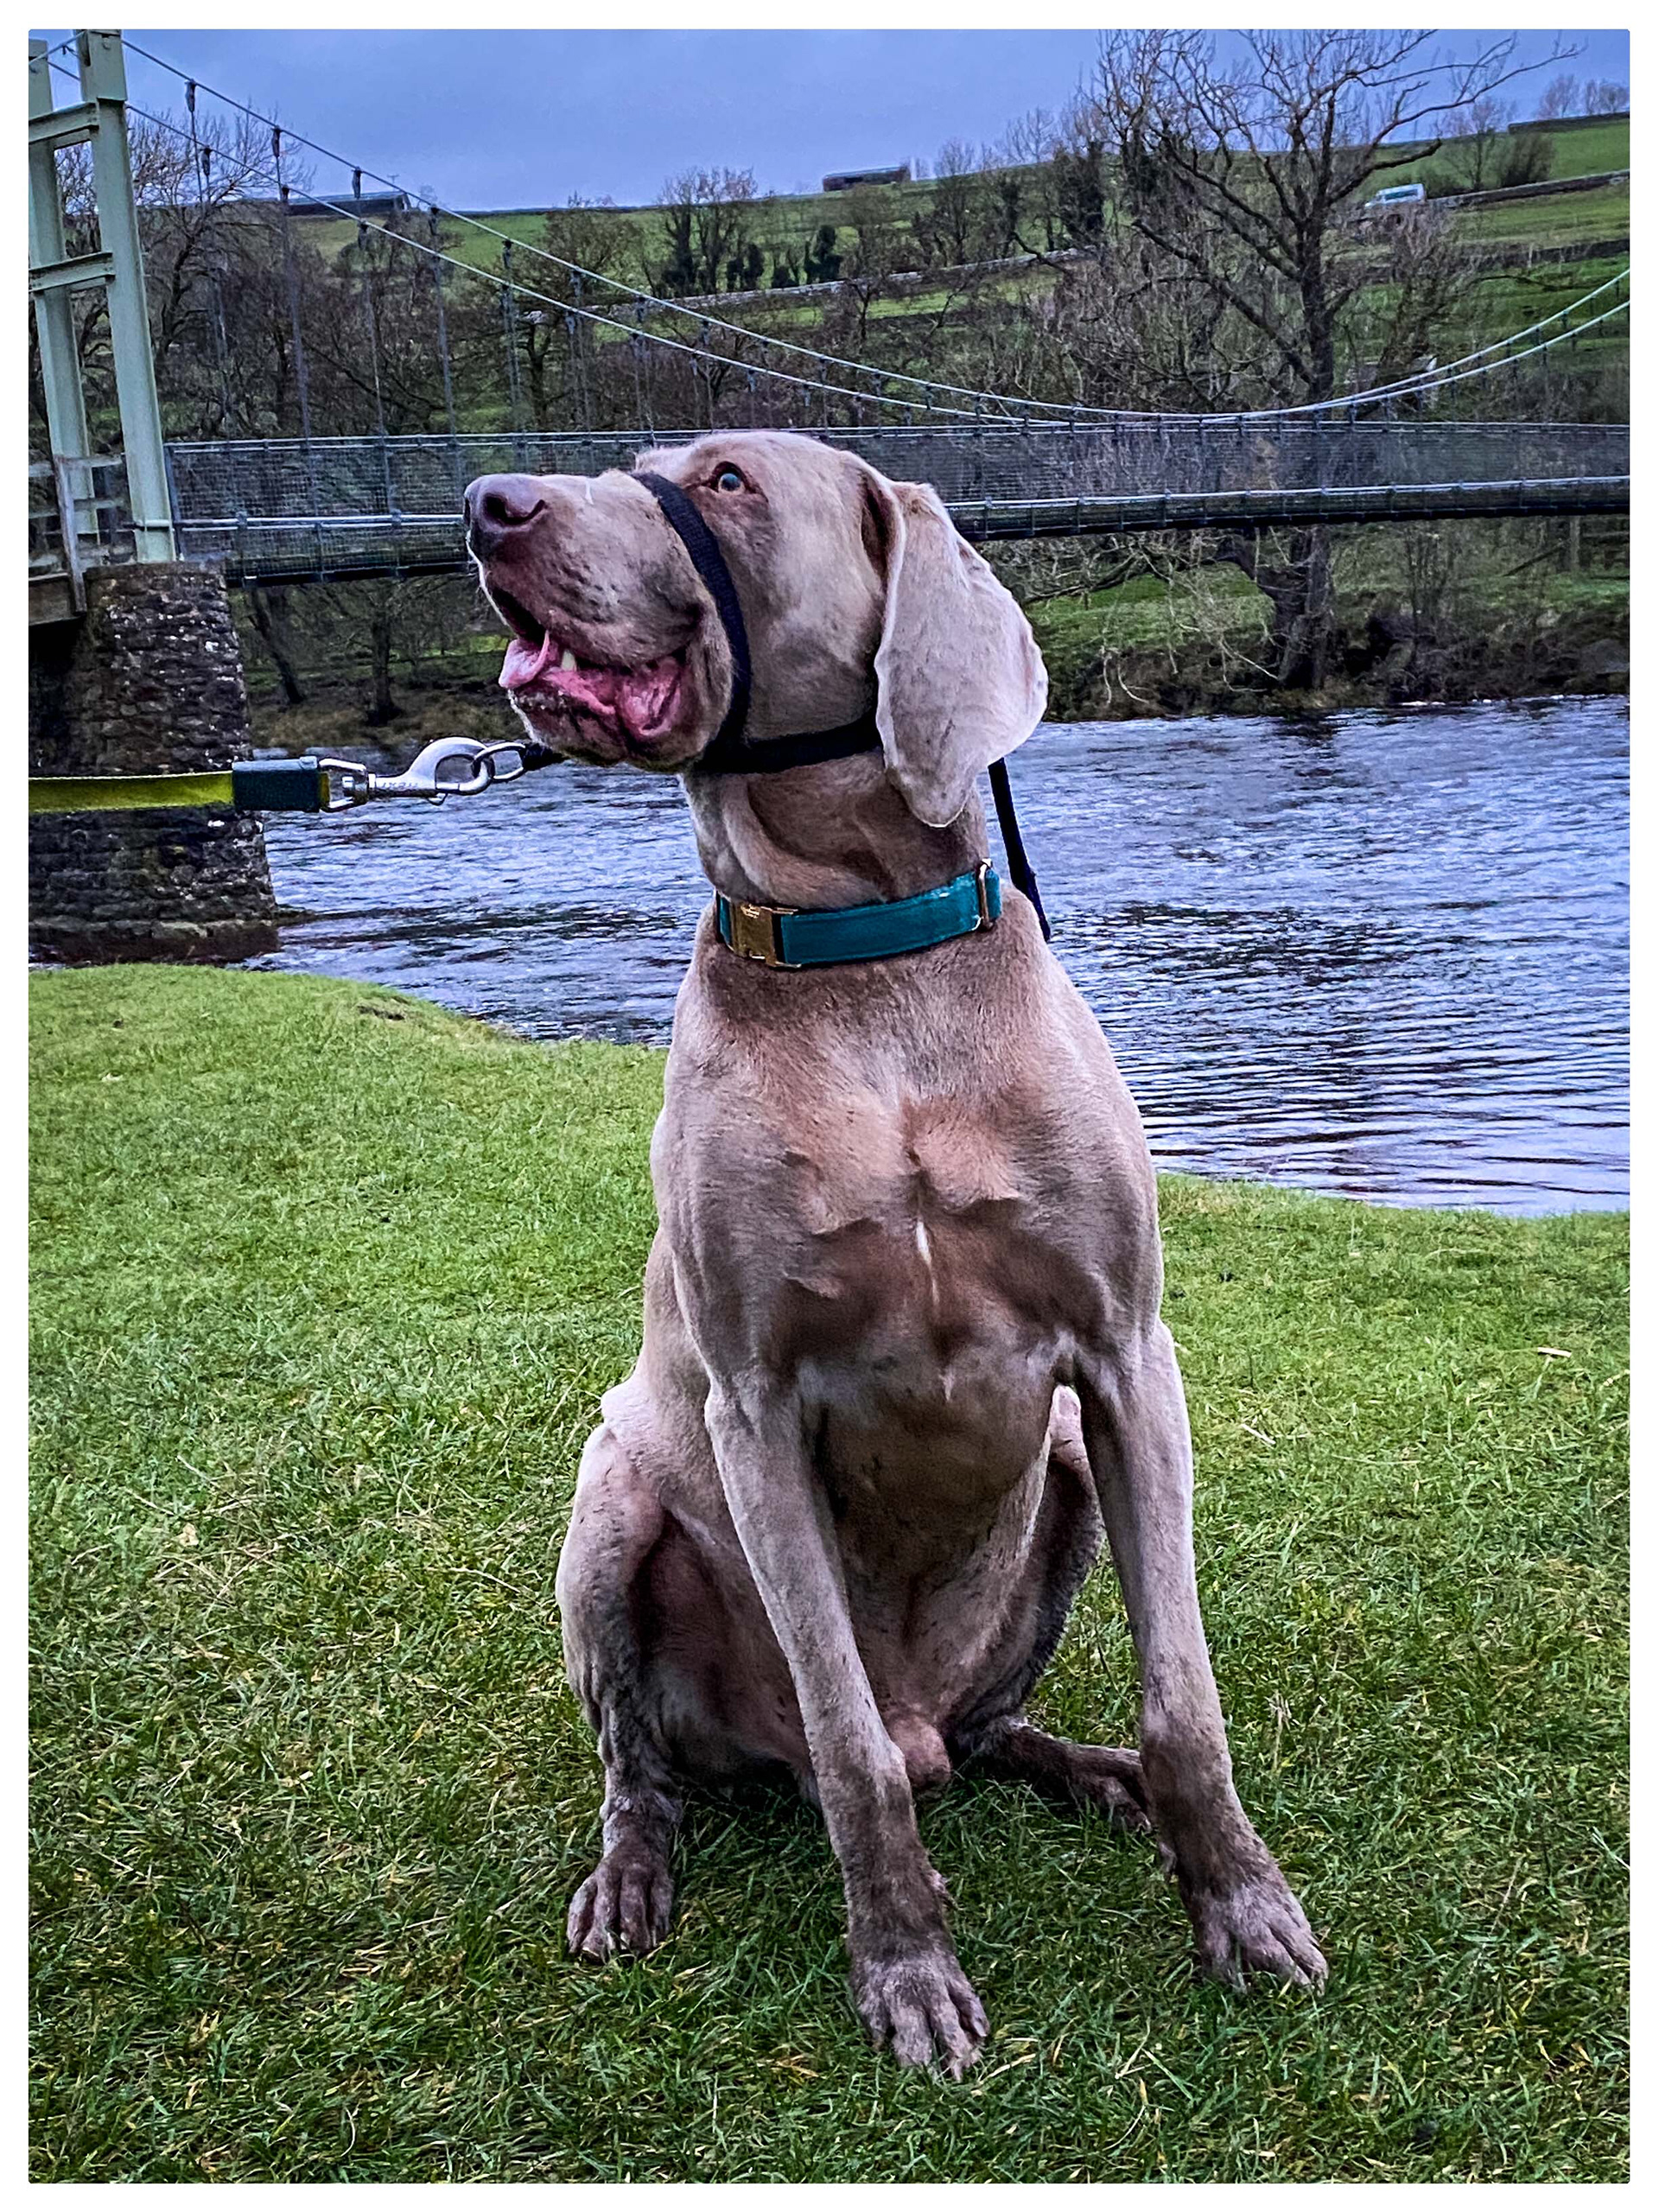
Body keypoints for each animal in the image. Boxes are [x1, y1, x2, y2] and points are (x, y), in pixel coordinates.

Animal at [464, 430, 1324, 2075]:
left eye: (725, 480)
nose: (482, 505)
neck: (868, 964)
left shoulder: (1128, 1363)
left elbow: (1186, 1698)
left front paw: (1242, 1908)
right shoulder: (755, 1410)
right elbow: (849, 1744)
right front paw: (907, 1971)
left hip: (1059, 1466)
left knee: (981, 1736)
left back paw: (1091, 1772)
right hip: (611, 1507)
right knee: (678, 1760)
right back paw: (633, 1874)